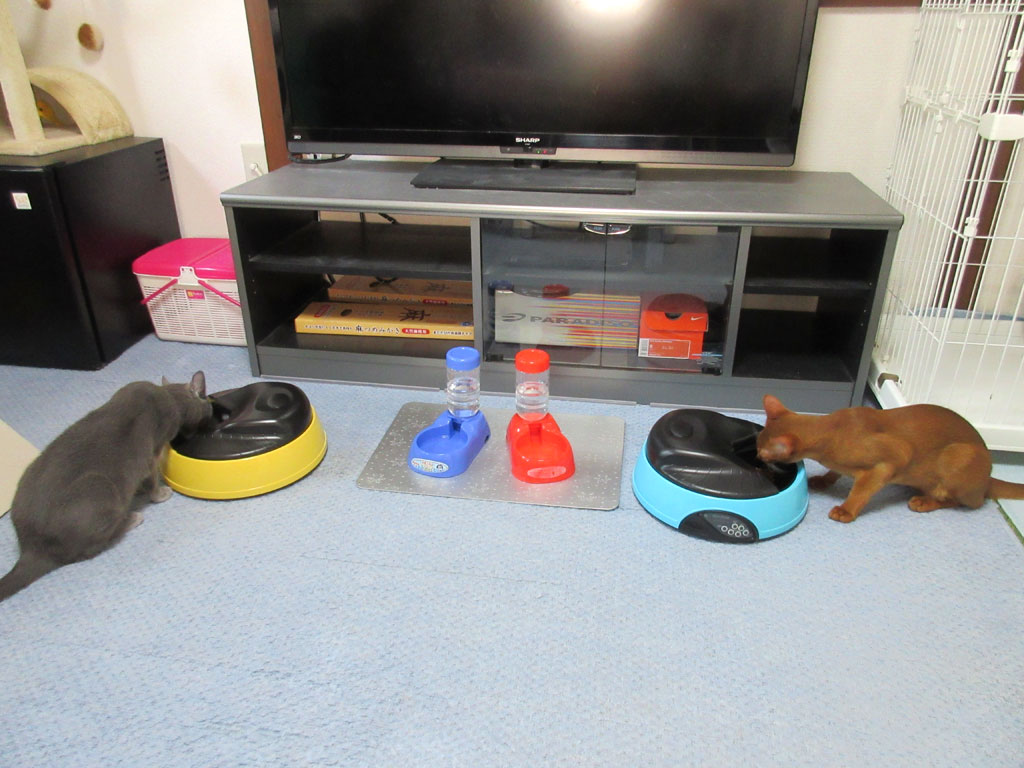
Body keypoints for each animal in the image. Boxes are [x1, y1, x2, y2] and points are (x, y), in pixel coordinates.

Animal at [0, 371, 213, 602]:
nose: (211, 406)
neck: (170, 396)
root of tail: (30, 547)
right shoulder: (150, 456)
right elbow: (152, 480)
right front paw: (161, 494)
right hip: (101, 490)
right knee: (88, 549)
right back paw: (132, 518)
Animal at [755, 394, 1024, 523]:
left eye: (762, 453)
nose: (757, 458)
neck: (833, 428)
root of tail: (988, 478)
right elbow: (835, 472)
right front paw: (824, 480)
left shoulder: (891, 460)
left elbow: (861, 491)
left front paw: (846, 510)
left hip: (958, 456)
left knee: (963, 502)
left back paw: (925, 502)